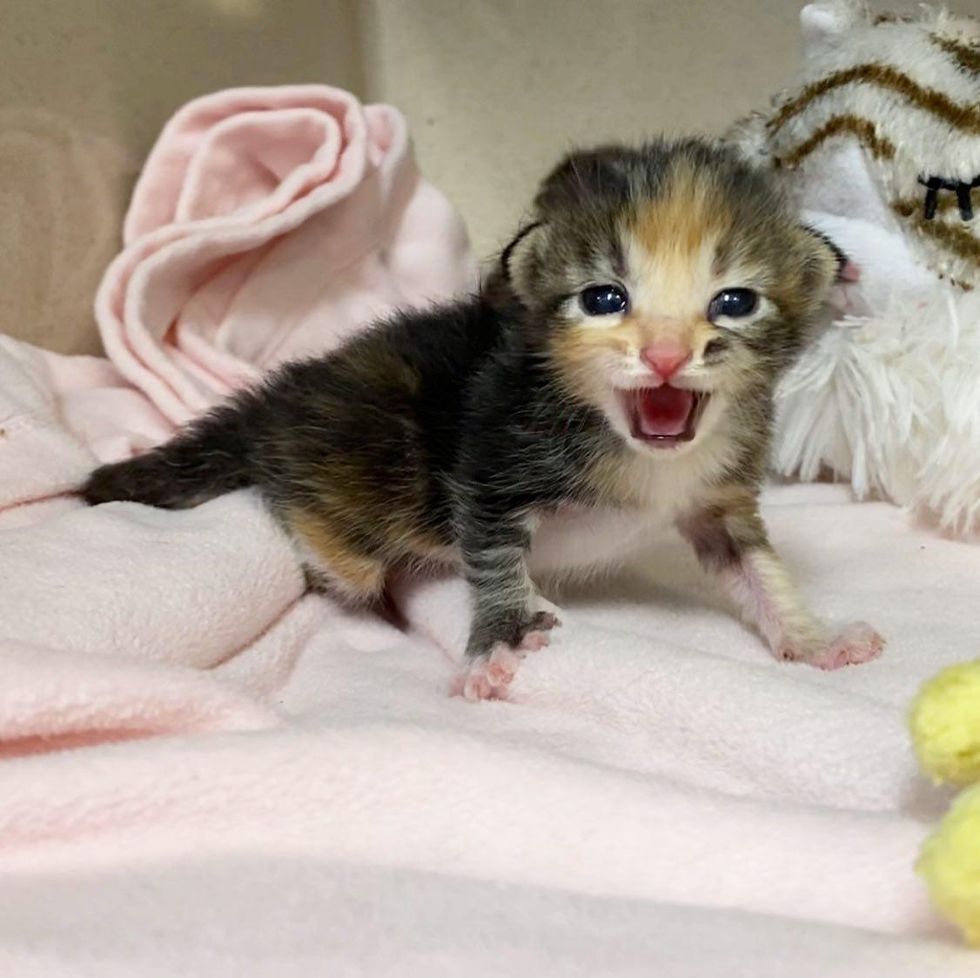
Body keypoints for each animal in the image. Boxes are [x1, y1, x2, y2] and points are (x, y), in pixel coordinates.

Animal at [82, 139, 880, 700]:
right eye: (604, 299)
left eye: (735, 302)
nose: (663, 355)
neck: (640, 454)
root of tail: (287, 392)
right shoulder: (493, 468)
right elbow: (493, 562)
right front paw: (495, 641)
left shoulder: (719, 500)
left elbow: (759, 569)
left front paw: (812, 637)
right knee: (328, 540)